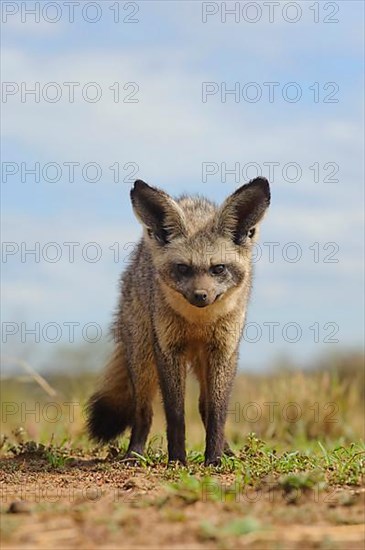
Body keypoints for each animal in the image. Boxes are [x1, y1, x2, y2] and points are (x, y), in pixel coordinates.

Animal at [87, 179, 270, 468]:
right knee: (143, 411)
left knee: (204, 406)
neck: (198, 323)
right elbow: (175, 414)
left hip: (201, 362)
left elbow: (217, 412)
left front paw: (214, 459)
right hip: (142, 359)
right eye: (183, 268)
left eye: (218, 268)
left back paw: (226, 452)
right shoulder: (168, 349)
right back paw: (135, 452)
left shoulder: (224, 350)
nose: (200, 296)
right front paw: (177, 460)